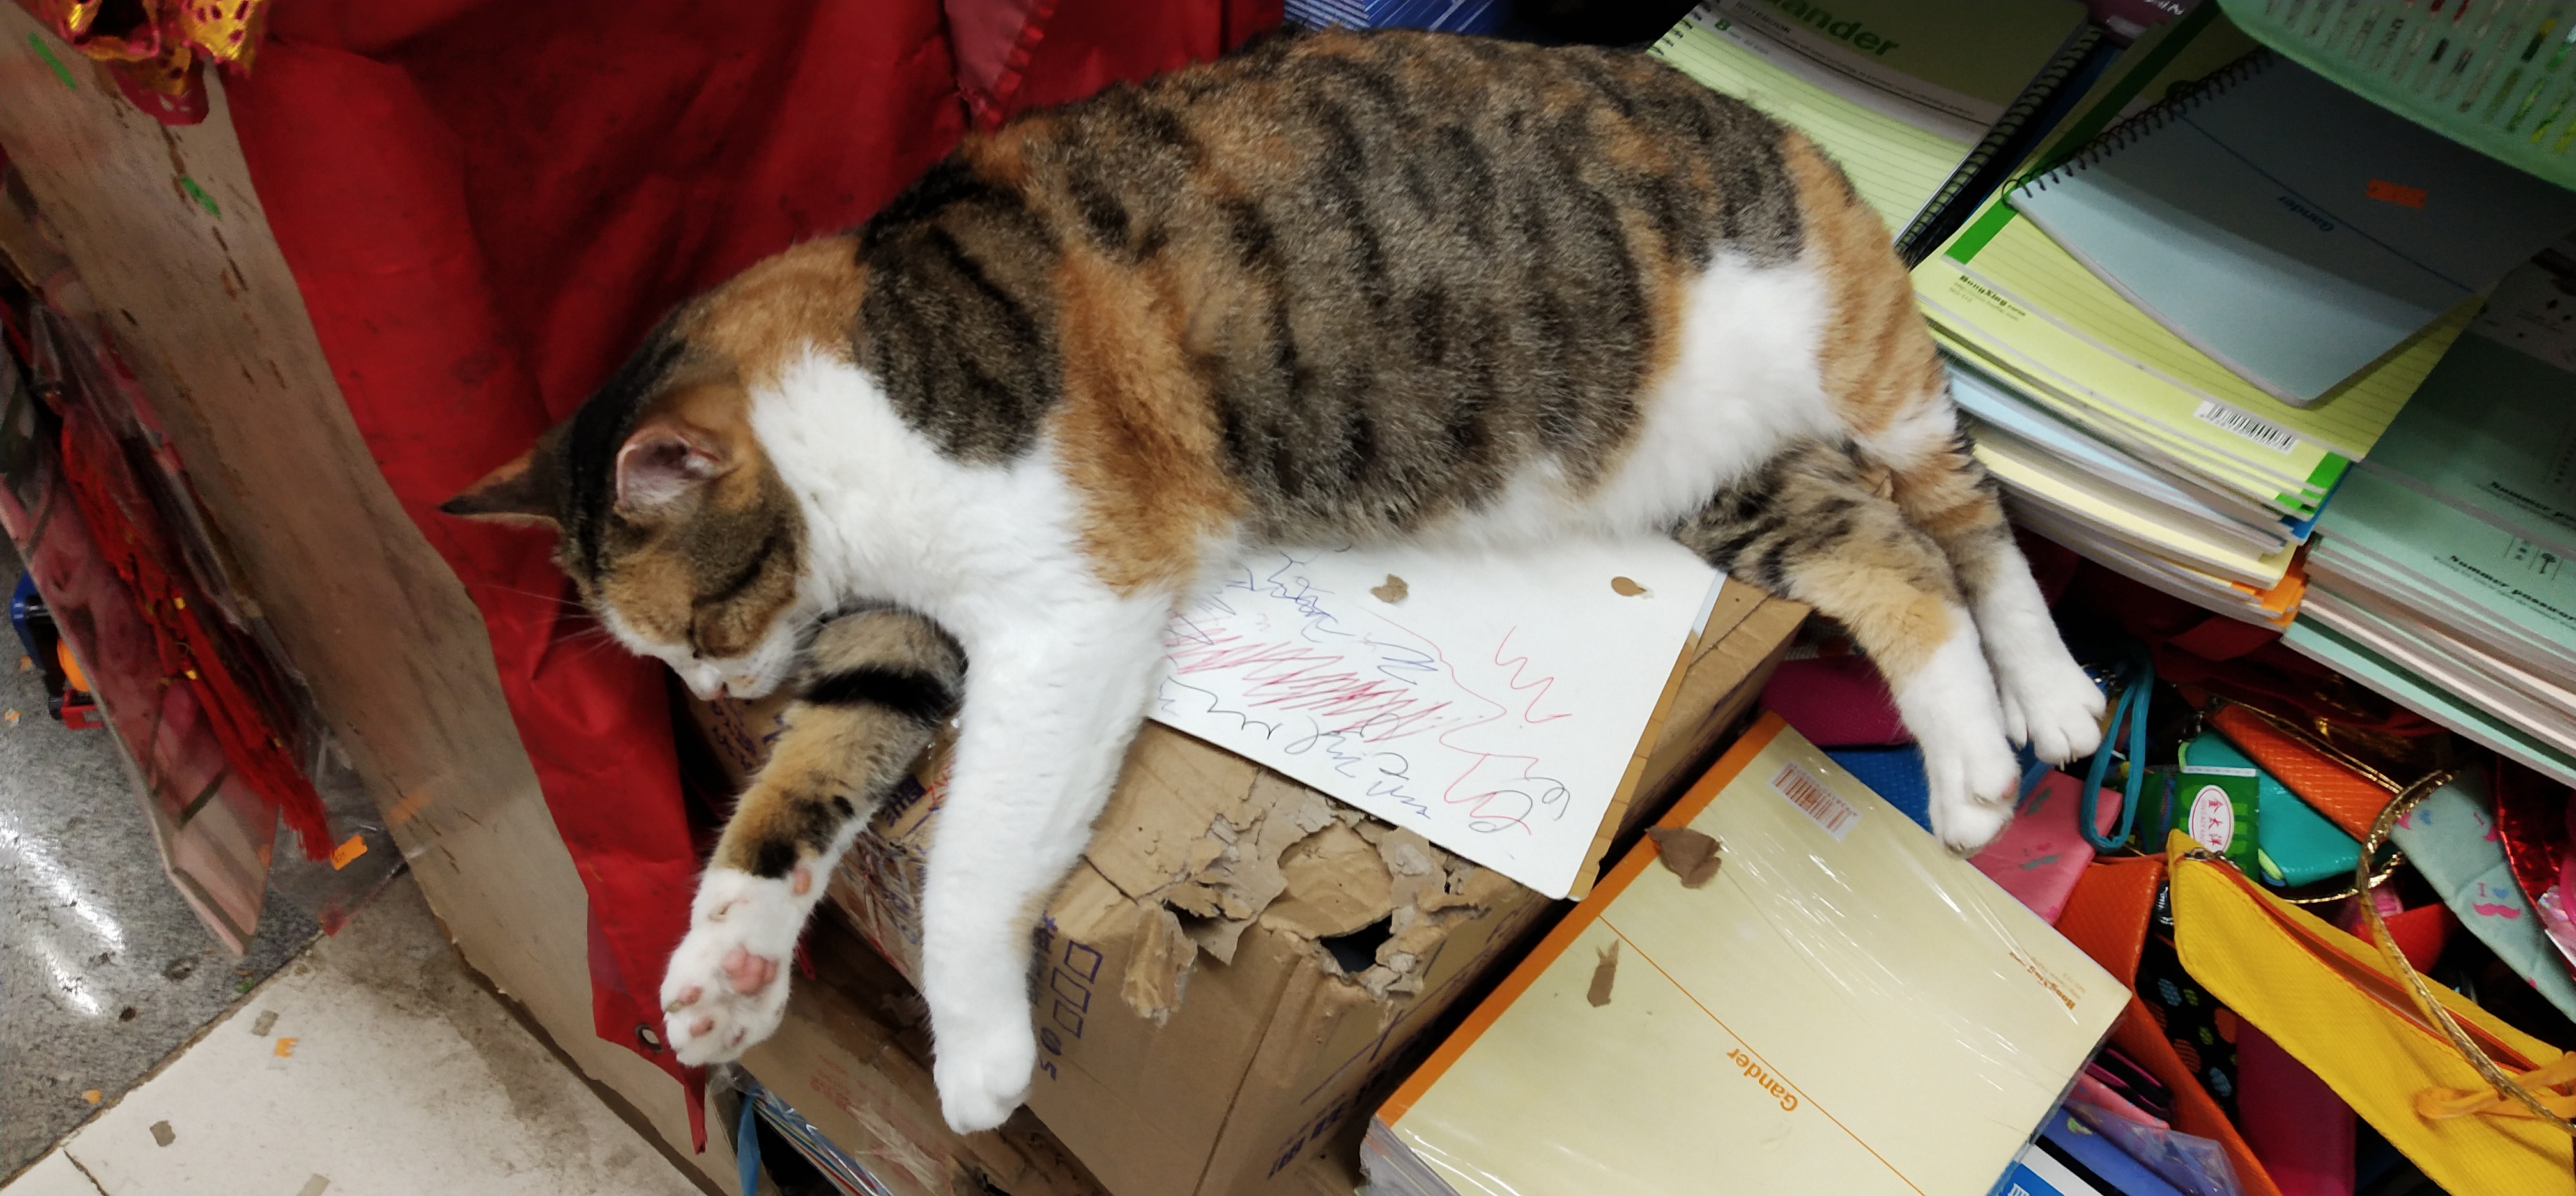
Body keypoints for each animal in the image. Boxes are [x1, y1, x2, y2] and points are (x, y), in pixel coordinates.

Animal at [438, 26, 2091, 1129]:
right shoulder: (893, 633)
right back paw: (1966, 764)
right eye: (669, 660)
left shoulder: (1076, 604)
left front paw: (981, 1059)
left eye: (692, 623)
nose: (723, 681)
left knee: (1969, 521)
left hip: (1864, 369)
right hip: (1726, 482)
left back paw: (2043, 719)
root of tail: (1775, 127)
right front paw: (723, 967)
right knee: (1887, 555)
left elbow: (972, 853)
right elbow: (802, 786)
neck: (851, 393)